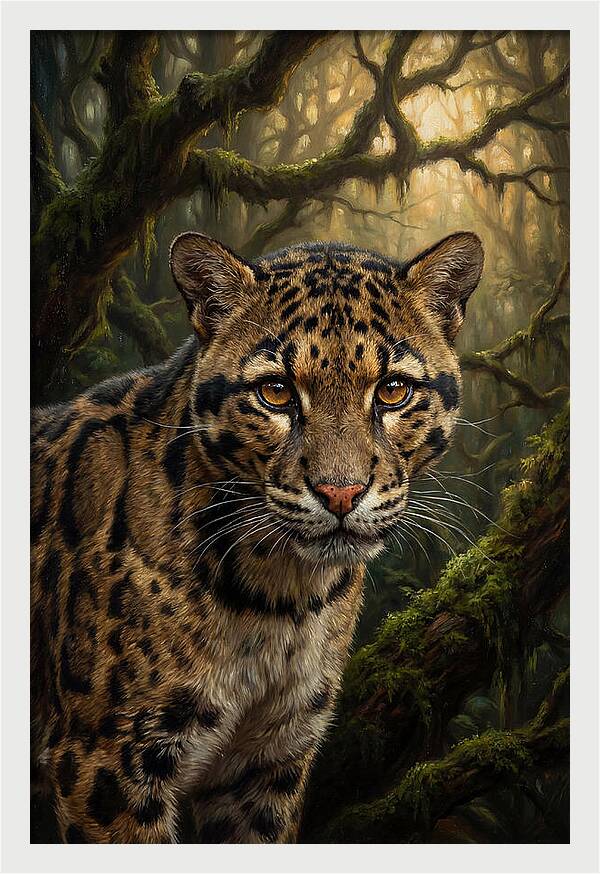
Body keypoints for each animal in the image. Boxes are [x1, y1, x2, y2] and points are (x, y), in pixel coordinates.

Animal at [30, 229, 483, 843]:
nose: (340, 493)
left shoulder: (270, 760)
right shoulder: (106, 759)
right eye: (276, 392)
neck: (281, 596)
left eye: (392, 391)